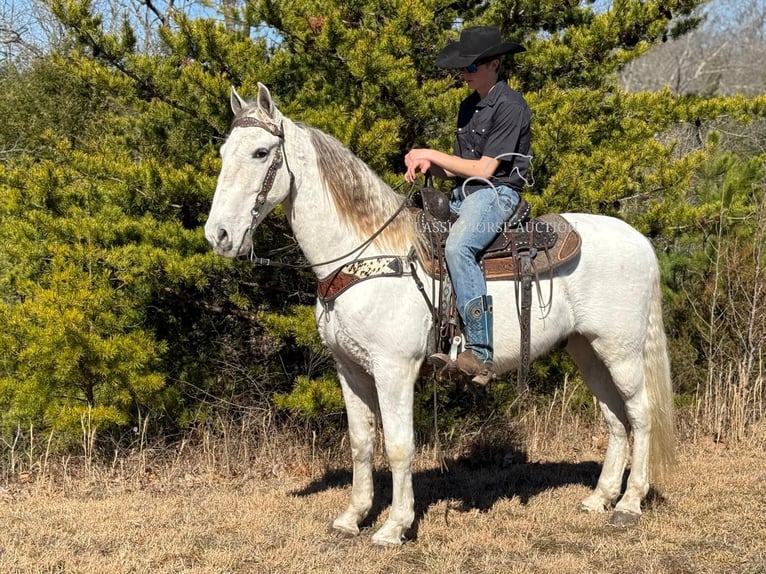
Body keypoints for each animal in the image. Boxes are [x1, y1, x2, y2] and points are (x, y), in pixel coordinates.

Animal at [206, 83, 680, 548]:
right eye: (225, 152)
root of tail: (638, 239)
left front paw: (394, 527)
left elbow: (399, 446)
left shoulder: (394, 368)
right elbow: (361, 442)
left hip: (621, 350)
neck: (366, 252)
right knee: (615, 418)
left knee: (640, 414)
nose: (219, 235)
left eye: (261, 153)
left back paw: (629, 504)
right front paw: (352, 517)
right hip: (587, 349)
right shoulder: (350, 368)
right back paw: (600, 498)